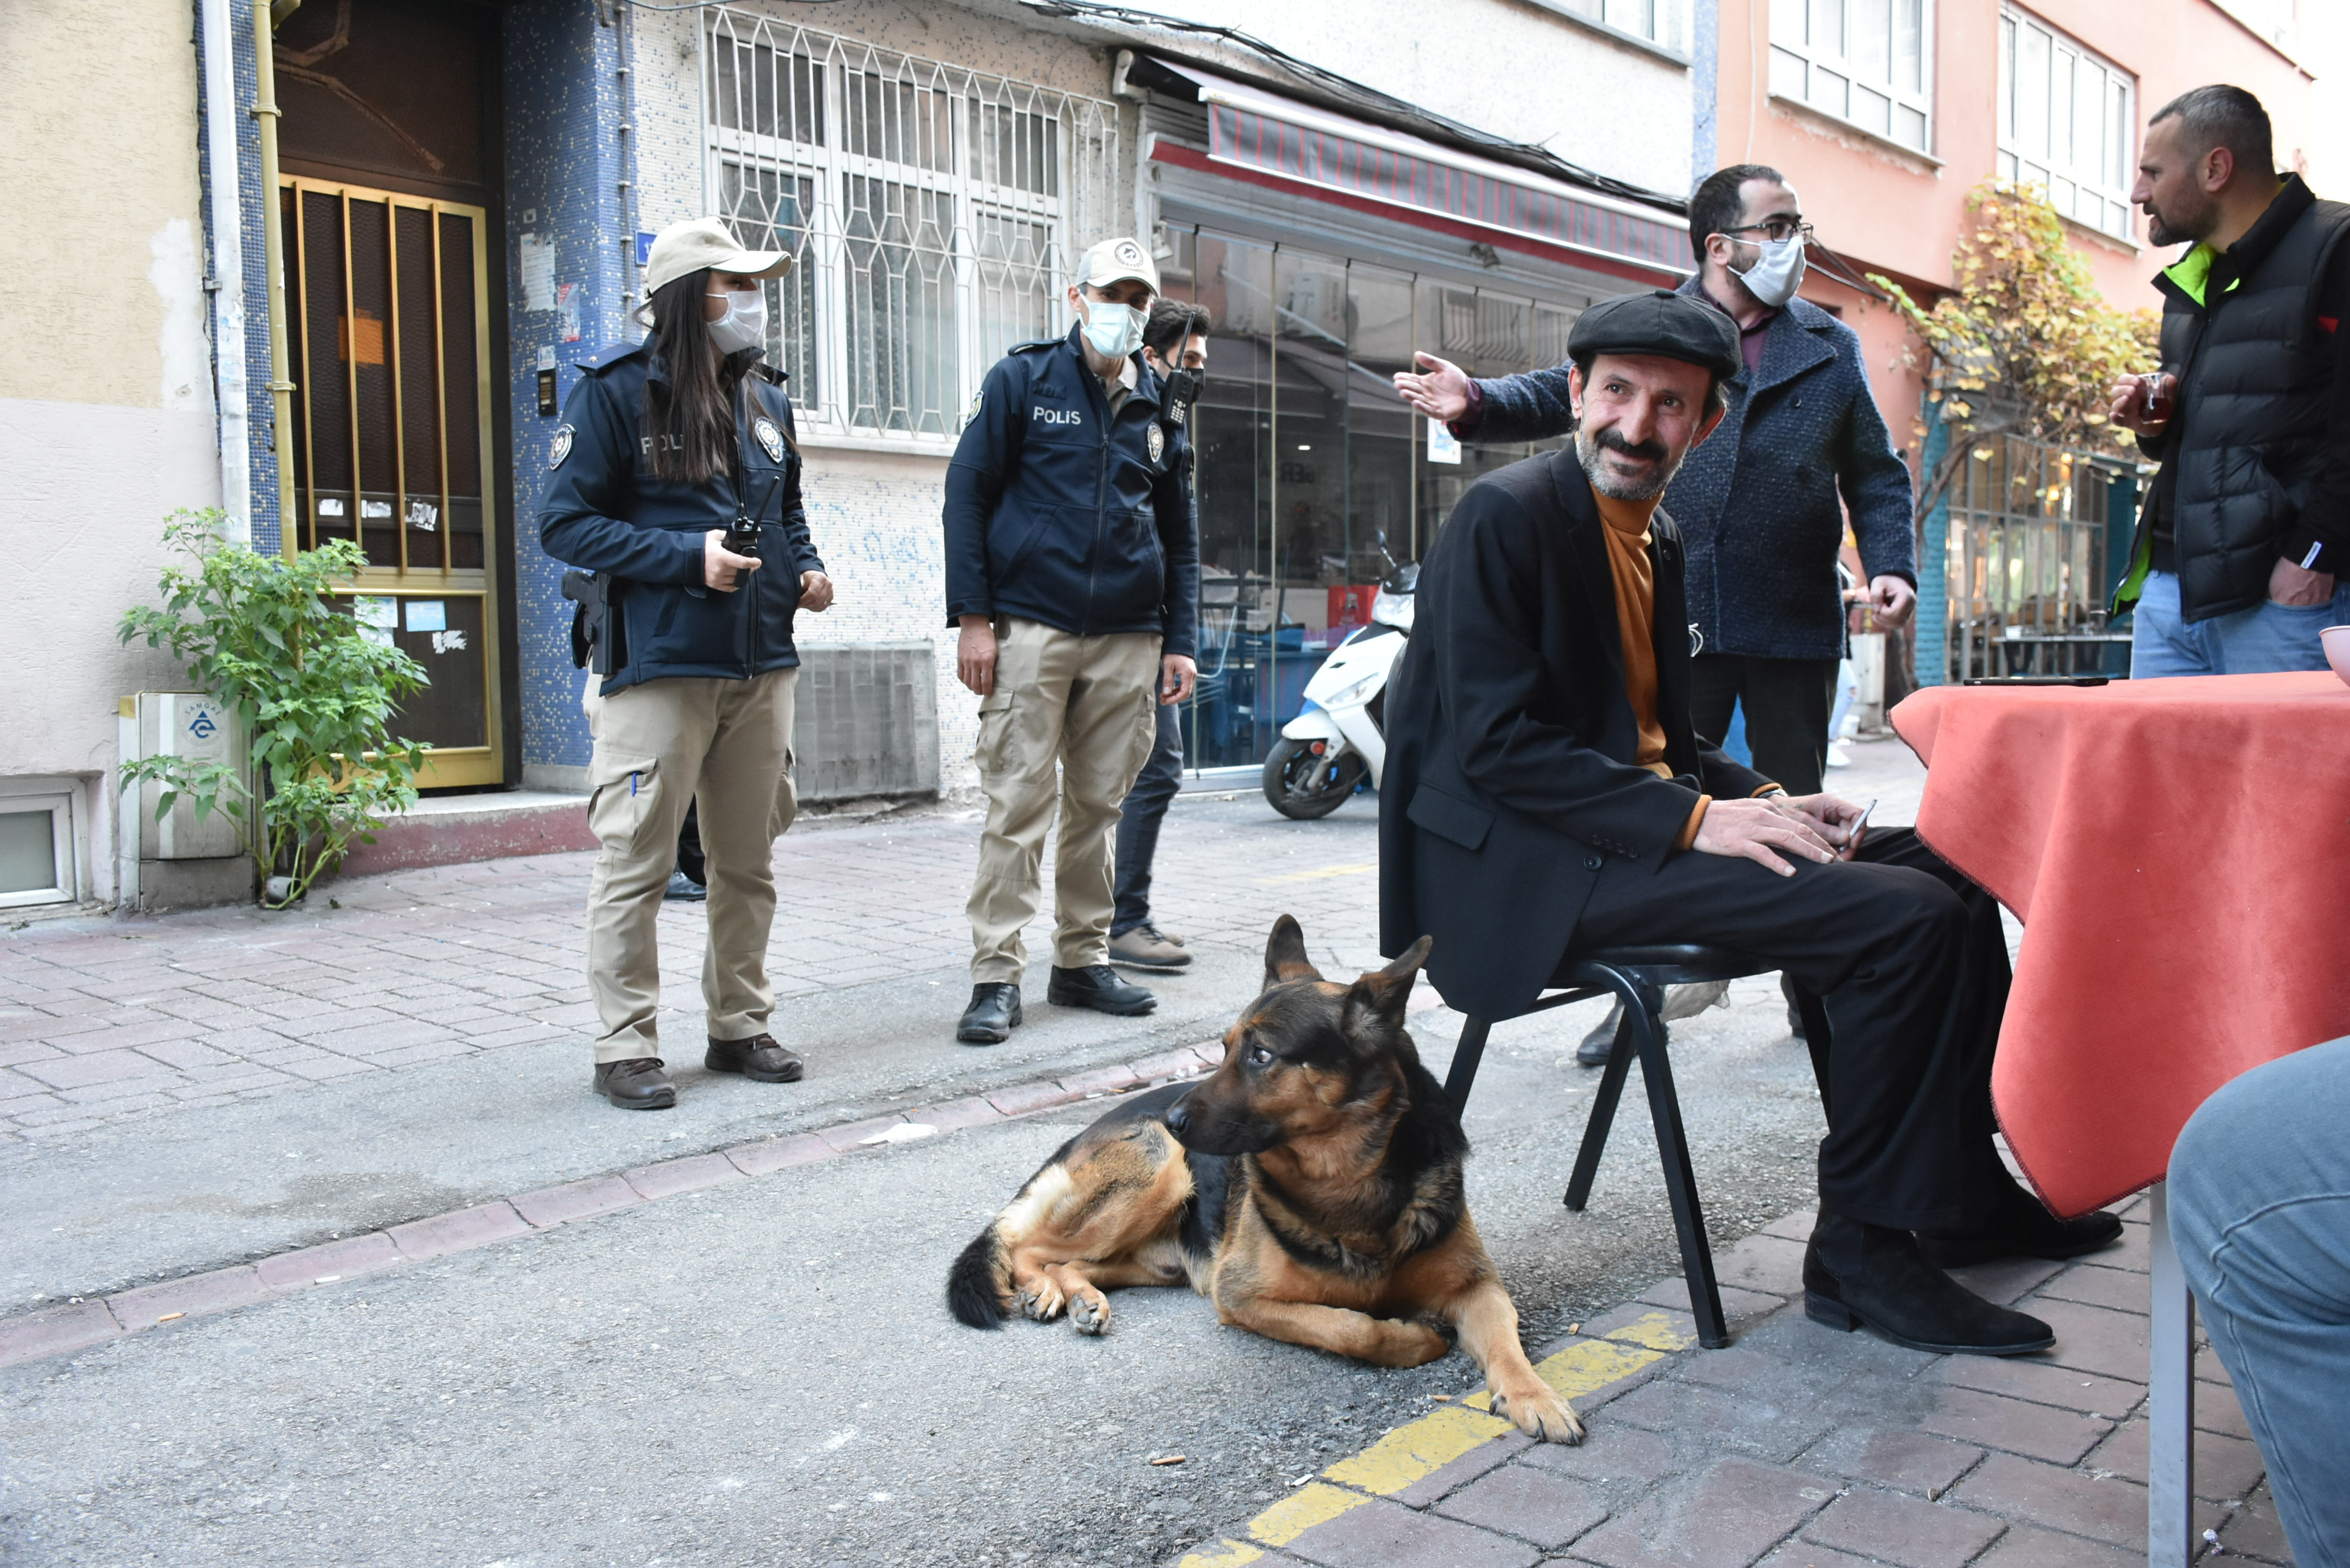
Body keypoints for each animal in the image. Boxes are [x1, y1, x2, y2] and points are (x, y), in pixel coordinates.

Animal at [944, 921, 1588, 1448]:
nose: (1174, 1120)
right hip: (1158, 1174)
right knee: (1027, 1248)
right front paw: (1415, 1338)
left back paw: (1082, 1297)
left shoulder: (1478, 1288)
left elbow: (1507, 1343)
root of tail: (1087, 1129)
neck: (1347, 1181)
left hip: (1160, 1257)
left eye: (1260, 1055)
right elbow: (1354, 1328)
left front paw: (1535, 1396)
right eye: (1225, 1049)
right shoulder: (1243, 1297)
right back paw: (1044, 1291)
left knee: (1071, 1261)